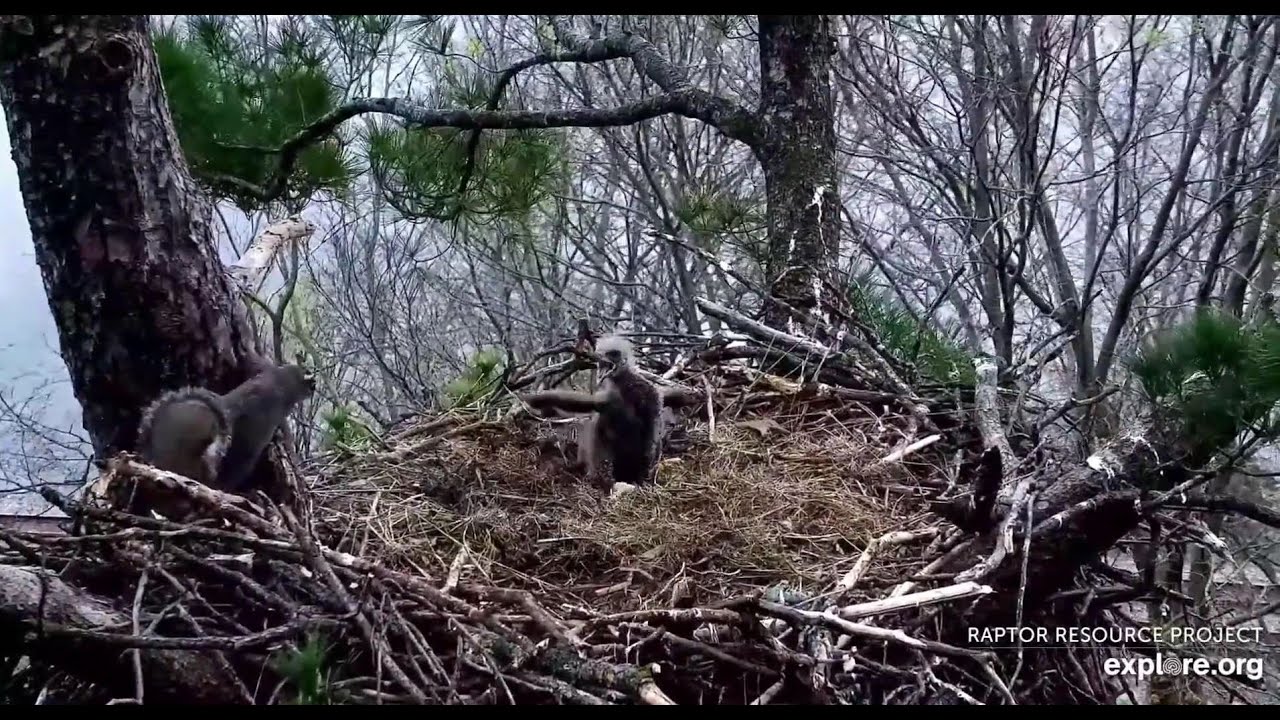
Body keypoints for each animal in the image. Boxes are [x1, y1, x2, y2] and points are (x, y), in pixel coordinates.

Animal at [521, 333, 664, 488]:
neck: (624, 385)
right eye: (600, 352)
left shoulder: (648, 394)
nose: (597, 356)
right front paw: (539, 400)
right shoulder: (607, 397)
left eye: (613, 354)